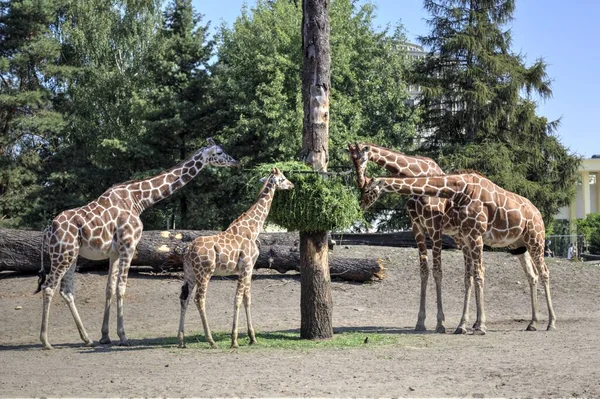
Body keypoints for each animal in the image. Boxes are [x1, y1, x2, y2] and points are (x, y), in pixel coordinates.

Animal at [35, 138, 239, 350]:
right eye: (219, 152)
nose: (235, 162)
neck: (138, 200)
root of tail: (48, 229)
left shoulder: (114, 253)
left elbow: (109, 288)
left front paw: (105, 336)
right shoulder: (129, 245)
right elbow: (121, 288)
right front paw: (123, 336)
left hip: (71, 255)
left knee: (66, 291)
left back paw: (87, 339)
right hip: (62, 254)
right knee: (48, 287)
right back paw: (46, 341)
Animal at [177, 167, 294, 348]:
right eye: (282, 178)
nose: (292, 185)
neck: (253, 229)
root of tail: (188, 249)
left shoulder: (248, 269)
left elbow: (247, 299)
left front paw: (252, 337)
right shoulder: (246, 265)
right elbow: (238, 299)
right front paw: (234, 340)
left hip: (189, 273)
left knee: (185, 298)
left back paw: (181, 340)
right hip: (205, 272)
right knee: (199, 299)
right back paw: (211, 340)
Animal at [346, 142, 460, 332]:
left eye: (362, 158)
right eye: (351, 158)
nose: (360, 181)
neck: (416, 173)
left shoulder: (434, 228)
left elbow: (437, 272)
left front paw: (440, 323)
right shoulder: (417, 227)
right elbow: (424, 271)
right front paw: (420, 321)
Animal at [356, 172, 556, 334]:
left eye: (367, 189)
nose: (361, 205)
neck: (459, 190)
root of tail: (537, 212)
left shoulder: (473, 235)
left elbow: (478, 274)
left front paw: (479, 326)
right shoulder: (465, 237)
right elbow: (468, 278)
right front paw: (462, 325)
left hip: (536, 240)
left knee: (545, 272)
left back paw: (551, 323)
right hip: (518, 245)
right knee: (532, 275)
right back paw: (532, 323)